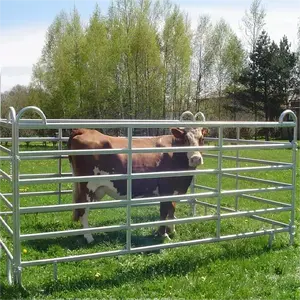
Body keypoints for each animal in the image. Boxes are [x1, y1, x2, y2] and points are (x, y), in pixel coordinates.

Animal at [67, 127, 205, 244]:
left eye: (202, 139)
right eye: (185, 139)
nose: (196, 158)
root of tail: (85, 130)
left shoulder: (175, 190)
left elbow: (172, 210)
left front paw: (172, 231)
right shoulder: (166, 189)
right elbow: (164, 211)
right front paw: (163, 234)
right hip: (87, 187)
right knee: (83, 210)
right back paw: (89, 237)